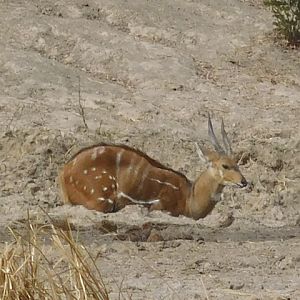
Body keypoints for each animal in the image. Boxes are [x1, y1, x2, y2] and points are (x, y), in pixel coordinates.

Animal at [58, 115, 246, 220]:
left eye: (237, 162)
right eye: (225, 165)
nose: (244, 182)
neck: (189, 197)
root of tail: (65, 171)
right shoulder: (159, 206)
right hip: (101, 199)